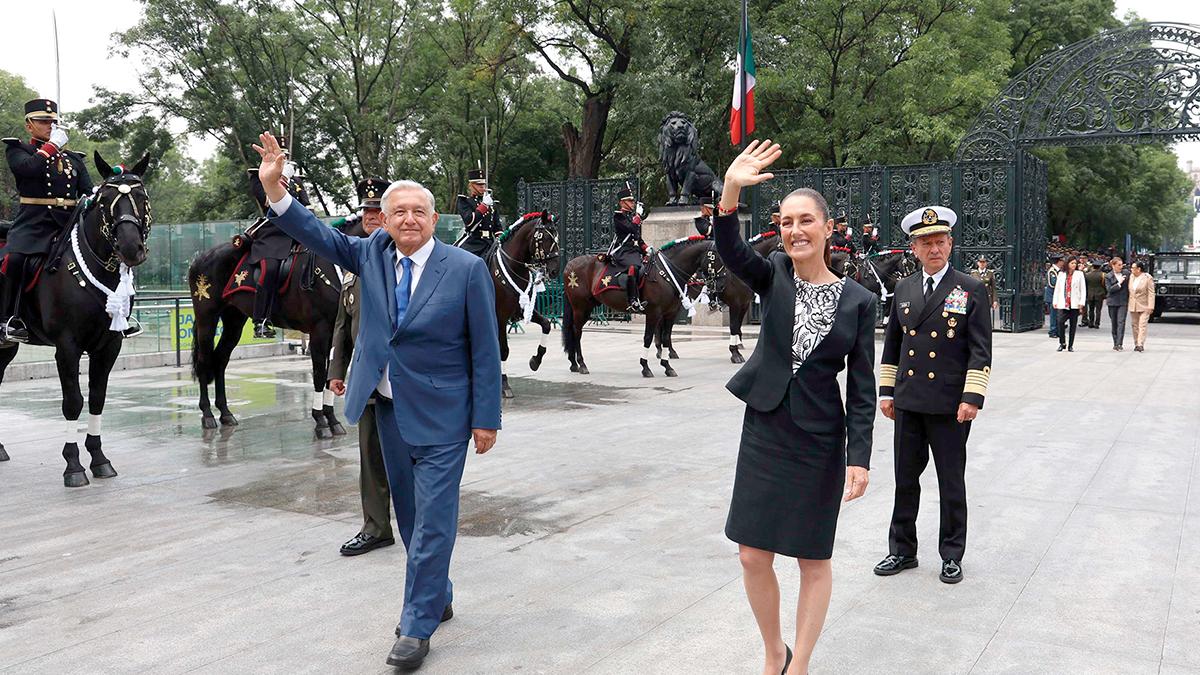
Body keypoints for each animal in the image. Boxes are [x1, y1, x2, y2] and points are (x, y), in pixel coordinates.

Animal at [0, 151, 154, 482]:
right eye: (106, 199)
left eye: (142, 196)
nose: (131, 248)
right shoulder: (67, 346)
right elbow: (73, 402)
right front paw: (73, 464)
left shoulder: (109, 345)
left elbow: (97, 397)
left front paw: (99, 458)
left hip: (6, 347)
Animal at [184, 206, 362, 437]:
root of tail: (200, 257)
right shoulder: (319, 330)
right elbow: (319, 375)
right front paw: (321, 421)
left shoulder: (335, 331)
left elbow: (332, 374)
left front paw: (332, 420)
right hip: (207, 316)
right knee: (205, 361)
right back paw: (207, 414)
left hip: (234, 319)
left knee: (221, 360)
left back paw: (225, 412)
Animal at [487, 210, 561, 396]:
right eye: (545, 238)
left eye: (557, 237)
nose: (555, 270)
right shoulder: (500, 317)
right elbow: (503, 349)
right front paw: (504, 384)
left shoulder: (523, 310)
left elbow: (546, 324)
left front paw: (536, 360)